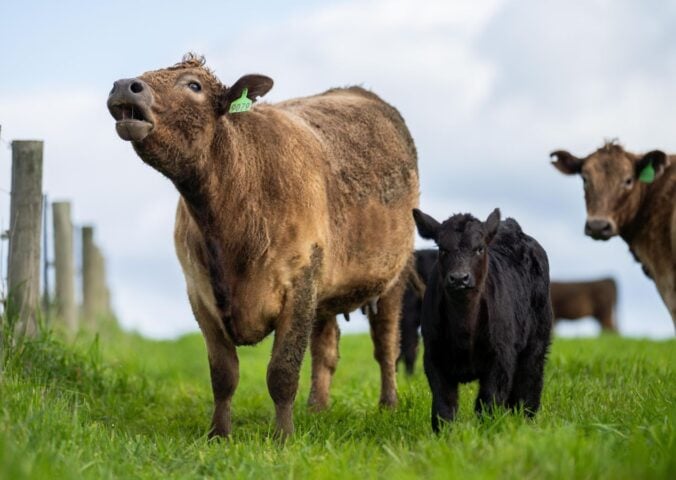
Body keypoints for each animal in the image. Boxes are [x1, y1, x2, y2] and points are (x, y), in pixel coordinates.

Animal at [106, 55, 420, 438]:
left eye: (194, 85)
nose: (125, 85)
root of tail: (357, 90)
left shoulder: (299, 282)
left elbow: (282, 371)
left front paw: (283, 436)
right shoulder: (200, 293)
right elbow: (224, 374)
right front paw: (219, 434)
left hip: (393, 275)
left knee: (386, 344)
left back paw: (388, 405)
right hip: (326, 289)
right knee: (326, 348)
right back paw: (317, 408)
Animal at [414, 208, 552, 434]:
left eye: (479, 249)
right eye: (442, 249)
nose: (459, 278)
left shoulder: (500, 358)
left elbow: (488, 402)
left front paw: (488, 431)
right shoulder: (434, 357)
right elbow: (444, 406)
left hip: (536, 342)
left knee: (529, 384)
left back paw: (526, 422)